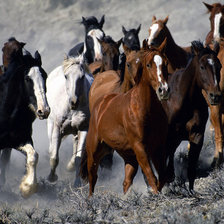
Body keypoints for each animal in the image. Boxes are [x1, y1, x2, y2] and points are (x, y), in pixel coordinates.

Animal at [46, 53, 93, 186]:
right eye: (66, 76)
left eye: (82, 76)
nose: (73, 101)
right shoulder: (57, 128)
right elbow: (54, 157)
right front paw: (51, 178)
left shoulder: (83, 129)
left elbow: (78, 158)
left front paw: (77, 184)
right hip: (50, 123)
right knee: (51, 146)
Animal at [80, 42, 170, 196]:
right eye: (148, 65)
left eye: (165, 63)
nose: (163, 89)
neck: (144, 108)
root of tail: (101, 102)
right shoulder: (140, 147)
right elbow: (151, 176)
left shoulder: (158, 146)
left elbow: (162, 176)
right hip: (94, 151)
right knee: (93, 178)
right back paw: (90, 200)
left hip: (128, 155)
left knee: (126, 181)